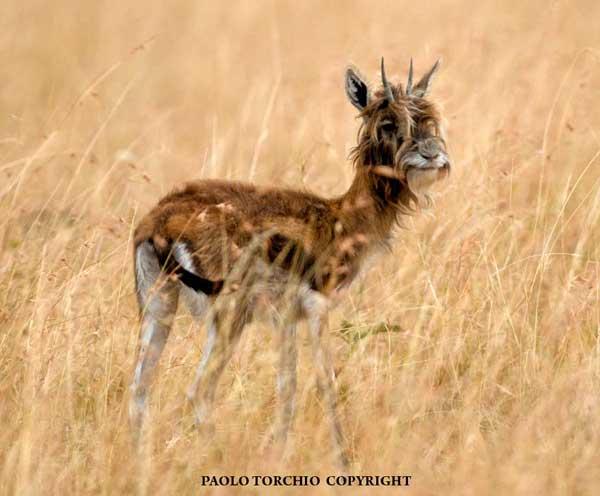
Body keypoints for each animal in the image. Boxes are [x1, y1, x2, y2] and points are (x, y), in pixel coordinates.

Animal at [130, 57, 450, 464]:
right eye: (388, 122)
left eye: (427, 117)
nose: (431, 155)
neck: (340, 219)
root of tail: (156, 222)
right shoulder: (316, 309)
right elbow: (325, 382)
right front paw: (342, 461)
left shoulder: (286, 321)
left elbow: (288, 387)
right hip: (227, 317)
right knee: (198, 392)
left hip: (158, 307)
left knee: (139, 391)